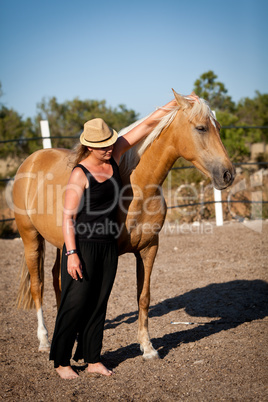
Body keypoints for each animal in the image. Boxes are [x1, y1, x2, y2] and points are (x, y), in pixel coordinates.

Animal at [12, 90, 234, 358]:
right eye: (201, 128)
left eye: (218, 127)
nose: (228, 174)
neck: (137, 188)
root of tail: (32, 160)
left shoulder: (149, 249)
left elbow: (143, 296)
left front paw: (147, 347)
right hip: (31, 239)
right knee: (38, 286)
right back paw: (44, 339)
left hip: (60, 244)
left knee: (57, 279)